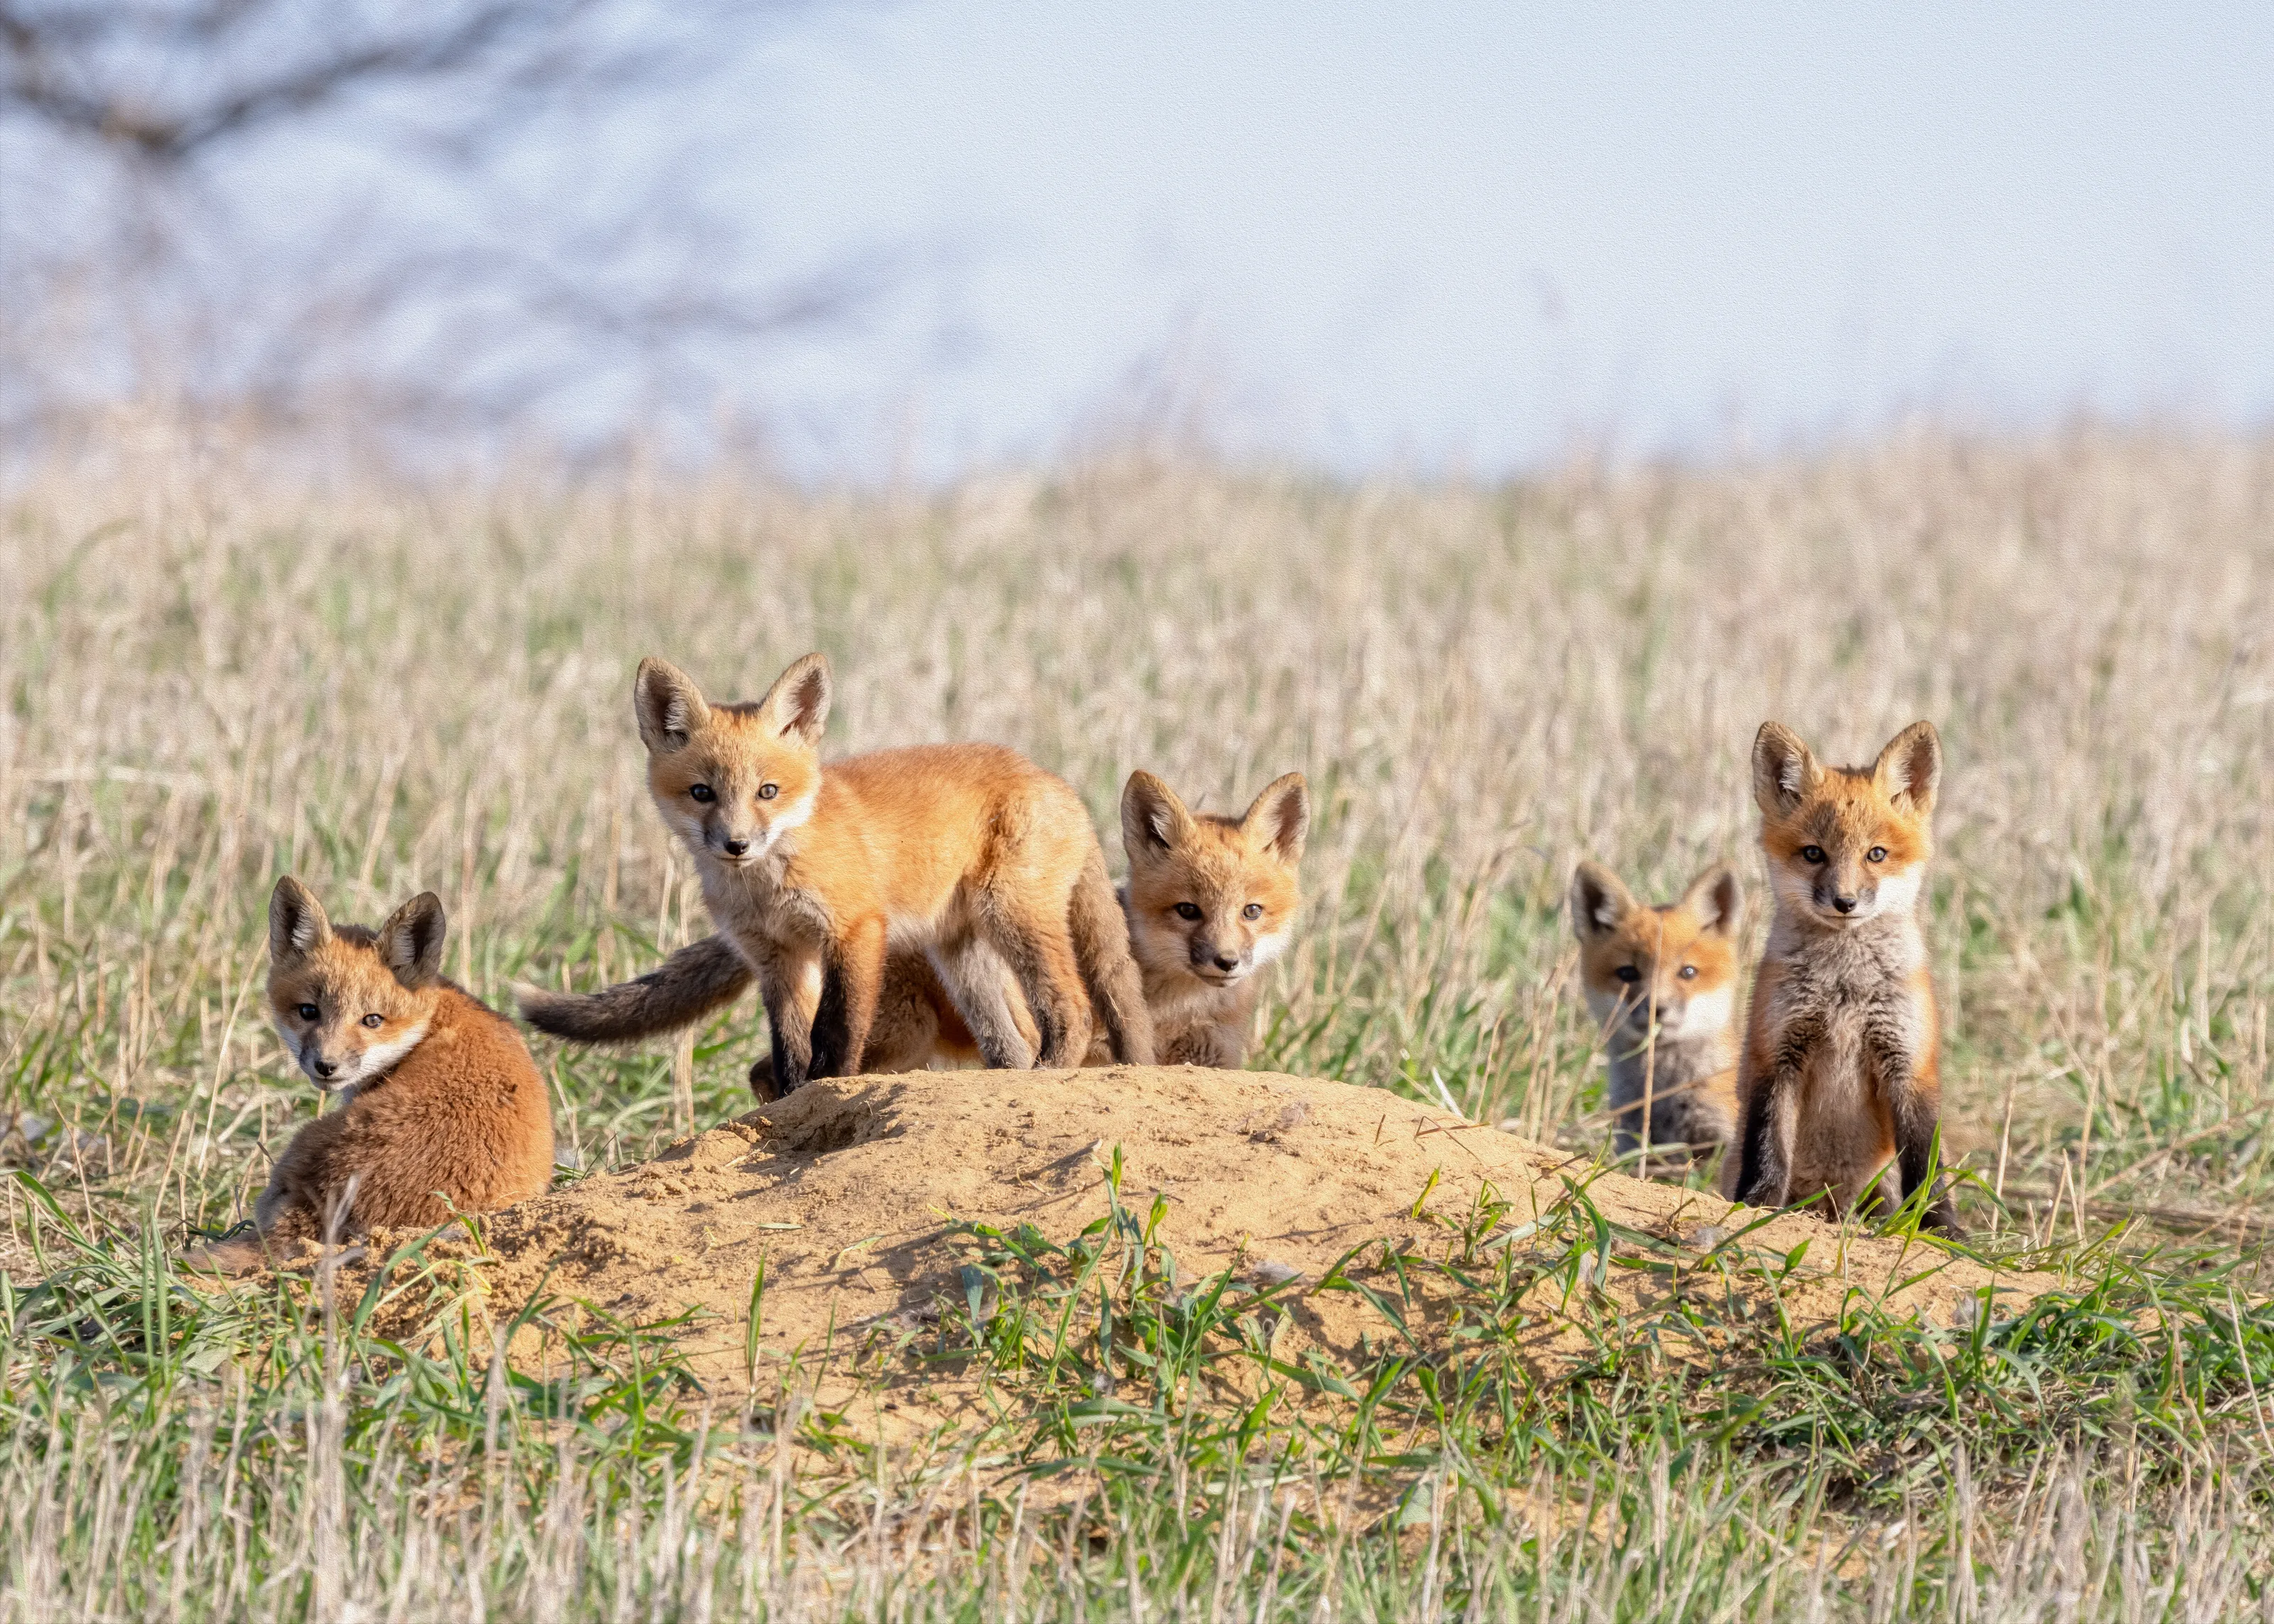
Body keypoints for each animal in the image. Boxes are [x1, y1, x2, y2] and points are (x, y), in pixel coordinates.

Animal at [518, 653, 1155, 1097]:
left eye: (767, 791)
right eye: (702, 793)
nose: (736, 845)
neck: (768, 887)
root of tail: (1058, 782)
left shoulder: (854, 930)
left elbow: (839, 1030)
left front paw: (830, 1089)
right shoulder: (777, 957)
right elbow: (790, 1045)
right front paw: (793, 1098)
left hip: (1013, 917)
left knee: (1075, 1008)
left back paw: (1051, 1070)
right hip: (963, 958)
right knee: (1011, 1040)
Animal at [1722, 719, 1960, 1232]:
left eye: (1877, 854)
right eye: (1814, 854)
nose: (1845, 902)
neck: (1845, 990)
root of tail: (1829, 1203)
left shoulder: (1910, 1062)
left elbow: (1926, 1162)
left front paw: (1941, 1228)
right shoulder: (1776, 1056)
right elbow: (1768, 1147)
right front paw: (1757, 1207)